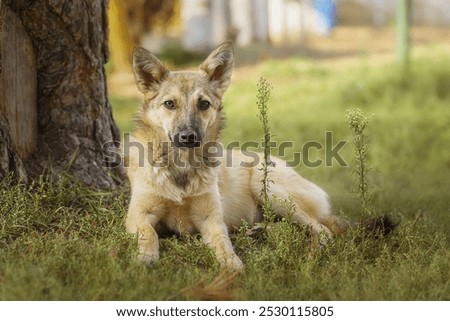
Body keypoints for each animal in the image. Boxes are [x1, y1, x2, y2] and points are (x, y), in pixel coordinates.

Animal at [124, 41, 394, 268]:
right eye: (170, 104)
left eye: (203, 104)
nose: (188, 137)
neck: (181, 168)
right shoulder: (138, 215)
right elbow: (149, 233)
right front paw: (145, 258)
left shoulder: (211, 218)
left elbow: (222, 242)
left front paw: (231, 265)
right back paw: (260, 231)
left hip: (267, 188)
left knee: (321, 231)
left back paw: (309, 254)